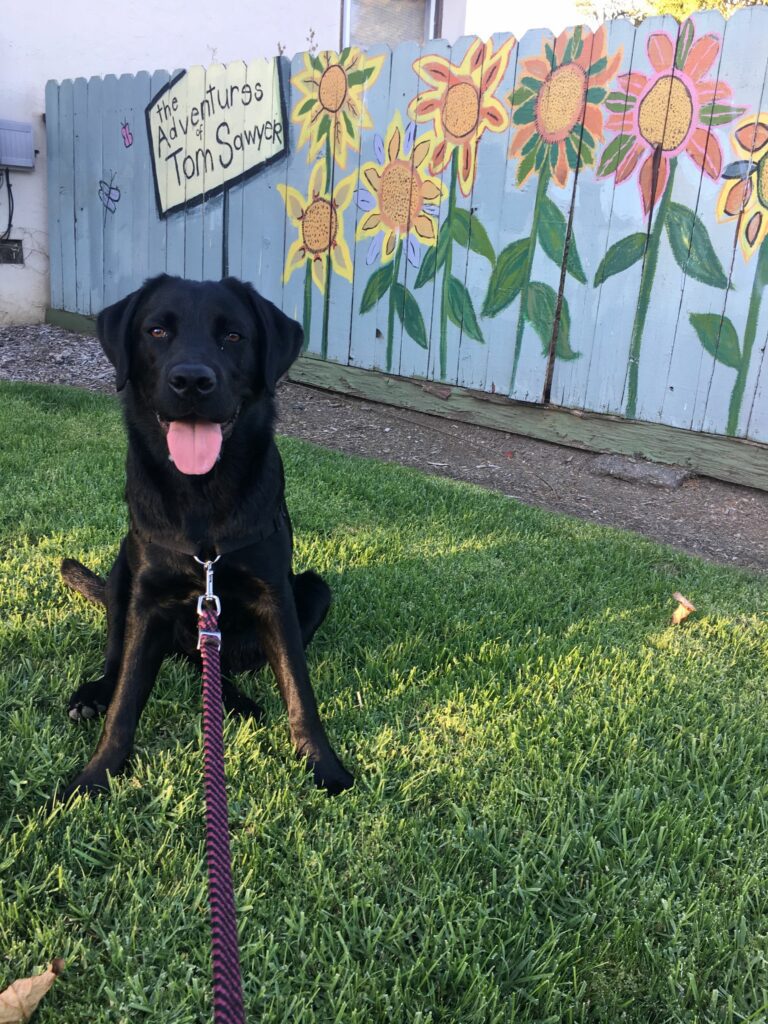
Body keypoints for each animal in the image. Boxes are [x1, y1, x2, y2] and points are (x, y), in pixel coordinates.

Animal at [59, 272, 354, 798]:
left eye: (233, 336)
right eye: (157, 331)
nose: (192, 381)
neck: (201, 496)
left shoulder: (275, 595)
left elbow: (299, 691)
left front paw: (324, 767)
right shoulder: (147, 599)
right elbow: (126, 699)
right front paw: (96, 776)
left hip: (314, 590)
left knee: (208, 661)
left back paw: (235, 700)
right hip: (121, 572)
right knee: (121, 659)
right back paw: (95, 692)